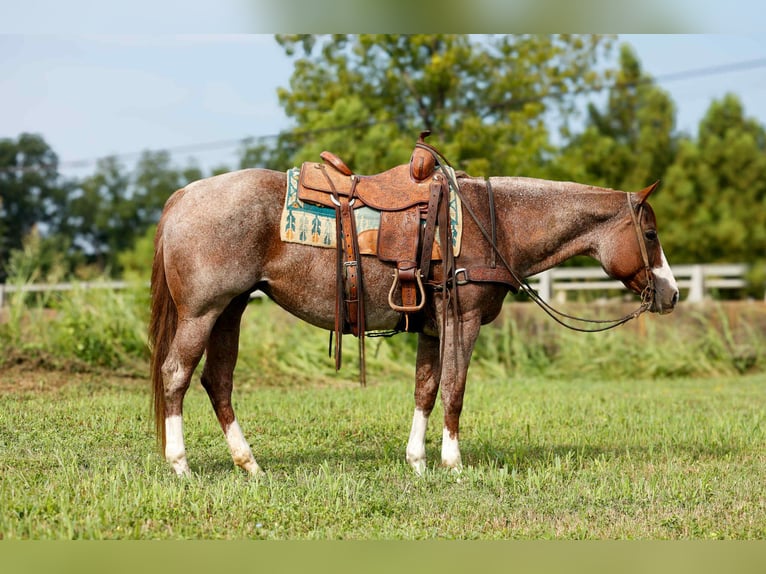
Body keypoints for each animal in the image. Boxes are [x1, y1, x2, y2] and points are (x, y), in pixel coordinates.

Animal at [149, 167, 679, 477]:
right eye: (651, 234)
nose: (671, 293)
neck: (497, 223)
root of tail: (181, 197)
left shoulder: (430, 327)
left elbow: (425, 390)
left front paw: (418, 462)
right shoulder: (463, 321)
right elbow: (454, 390)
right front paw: (453, 463)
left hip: (231, 309)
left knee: (217, 381)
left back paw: (250, 465)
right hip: (202, 312)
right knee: (176, 375)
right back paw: (181, 466)